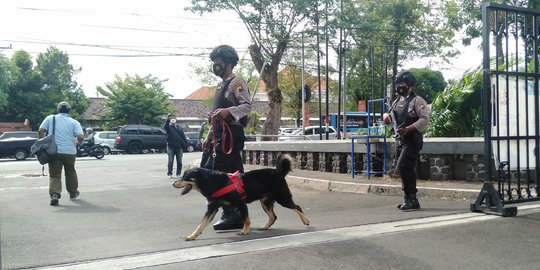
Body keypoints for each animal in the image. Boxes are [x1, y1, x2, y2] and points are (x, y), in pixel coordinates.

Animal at [173, 154, 308, 240]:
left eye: (185, 177)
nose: (174, 183)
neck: (211, 182)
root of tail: (278, 173)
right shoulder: (212, 207)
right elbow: (201, 224)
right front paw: (192, 236)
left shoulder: (241, 203)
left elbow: (246, 220)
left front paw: (244, 231)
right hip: (265, 202)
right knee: (273, 216)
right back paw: (264, 227)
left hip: (282, 198)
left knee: (297, 207)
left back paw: (306, 220)